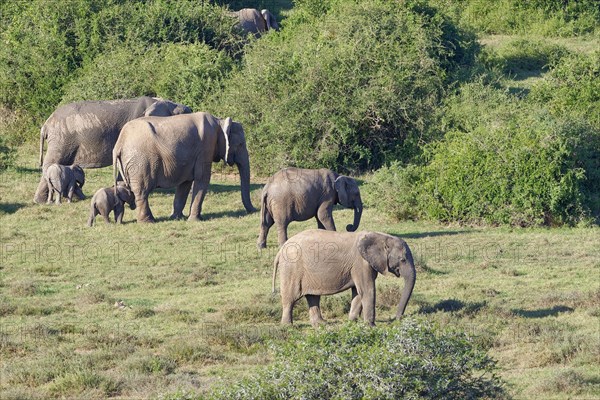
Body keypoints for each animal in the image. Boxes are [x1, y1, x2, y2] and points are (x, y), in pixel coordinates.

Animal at [112, 111, 255, 222]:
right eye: (241, 144)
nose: (254, 210)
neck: (219, 121)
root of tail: (119, 143)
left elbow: (185, 184)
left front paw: (176, 218)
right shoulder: (205, 148)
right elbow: (202, 179)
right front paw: (195, 220)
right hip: (140, 162)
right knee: (142, 191)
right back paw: (148, 222)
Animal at [274, 230, 418, 326]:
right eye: (402, 260)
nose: (397, 318)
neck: (381, 236)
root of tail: (280, 251)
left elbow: (358, 292)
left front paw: (353, 321)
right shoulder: (361, 263)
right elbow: (368, 290)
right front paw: (371, 326)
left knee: (312, 297)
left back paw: (321, 324)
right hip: (292, 268)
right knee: (290, 298)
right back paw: (288, 326)